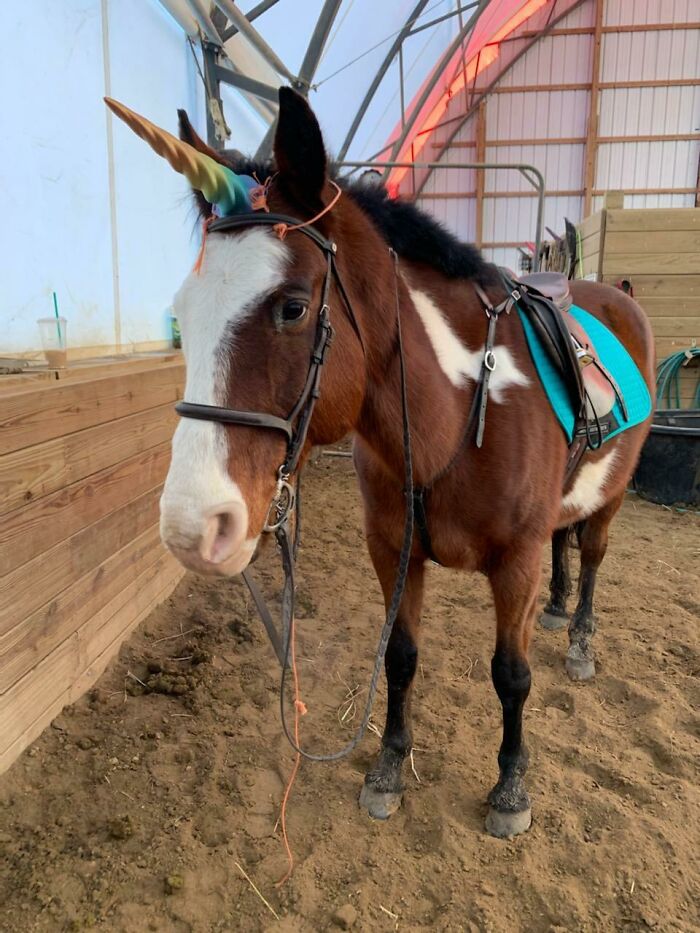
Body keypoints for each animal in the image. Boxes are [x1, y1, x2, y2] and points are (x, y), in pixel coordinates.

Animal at [106, 88, 655, 838]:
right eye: (183, 314)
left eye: (293, 308)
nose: (194, 528)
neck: (458, 416)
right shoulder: (393, 548)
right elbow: (399, 658)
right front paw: (390, 764)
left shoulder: (515, 561)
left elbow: (511, 675)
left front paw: (511, 786)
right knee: (565, 544)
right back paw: (557, 607)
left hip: (614, 496)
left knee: (593, 552)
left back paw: (579, 638)